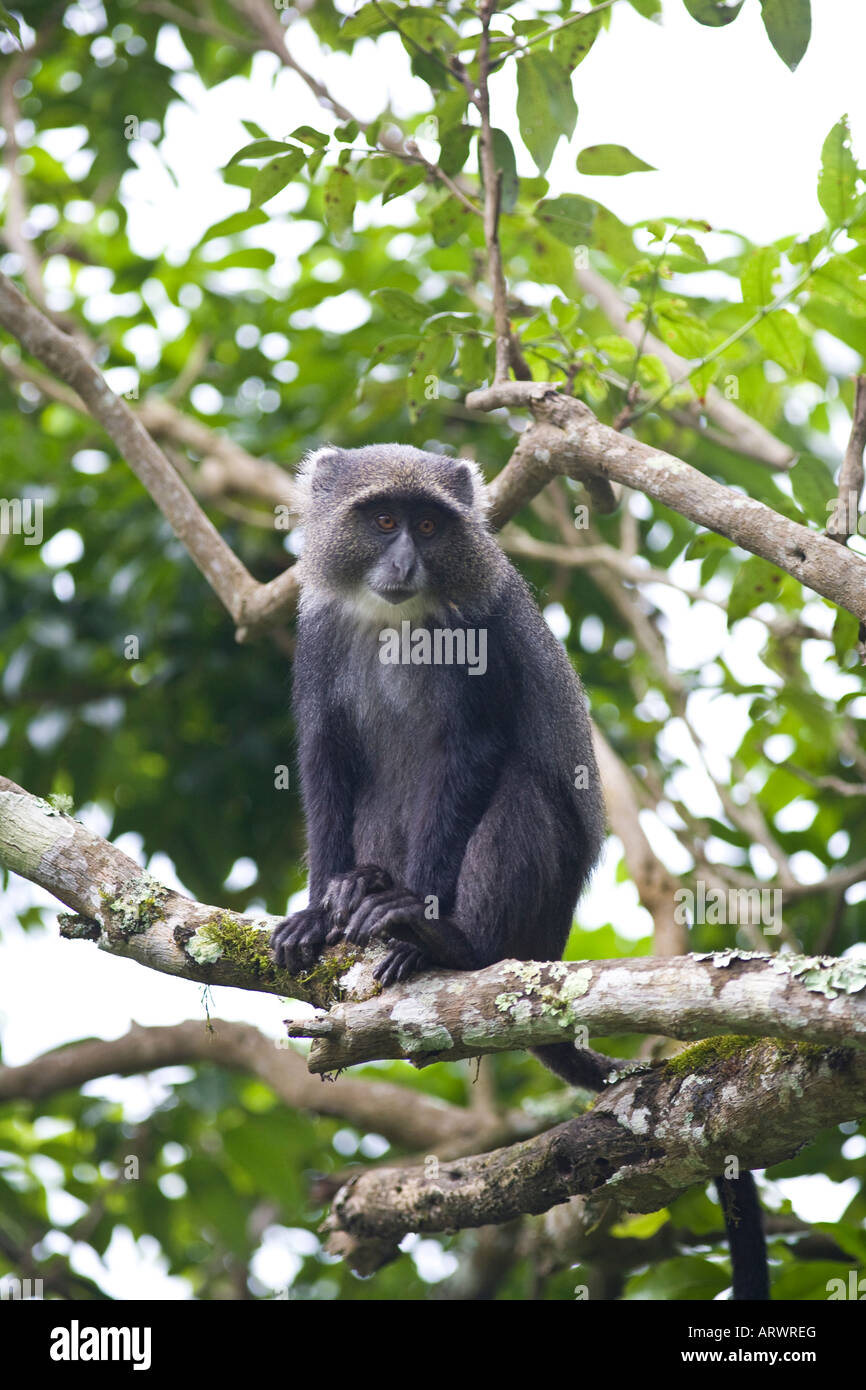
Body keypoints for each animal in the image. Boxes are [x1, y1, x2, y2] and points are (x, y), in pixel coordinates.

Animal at [272, 444, 772, 1301]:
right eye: (382, 519)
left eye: (429, 526)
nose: (404, 562)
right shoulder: (318, 642)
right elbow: (325, 765)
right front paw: (318, 911)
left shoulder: (476, 640)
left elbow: (473, 757)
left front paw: (415, 921)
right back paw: (363, 892)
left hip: (535, 909)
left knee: (522, 789)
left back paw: (450, 944)